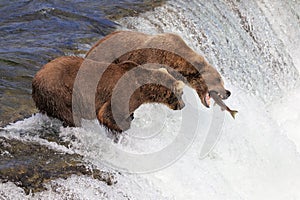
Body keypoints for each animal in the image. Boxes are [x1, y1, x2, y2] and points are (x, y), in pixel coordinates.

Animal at [31, 55, 185, 133]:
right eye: (182, 93)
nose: (183, 105)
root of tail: (36, 78)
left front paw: (131, 116)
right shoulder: (124, 92)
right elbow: (108, 113)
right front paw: (123, 125)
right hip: (60, 91)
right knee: (71, 115)